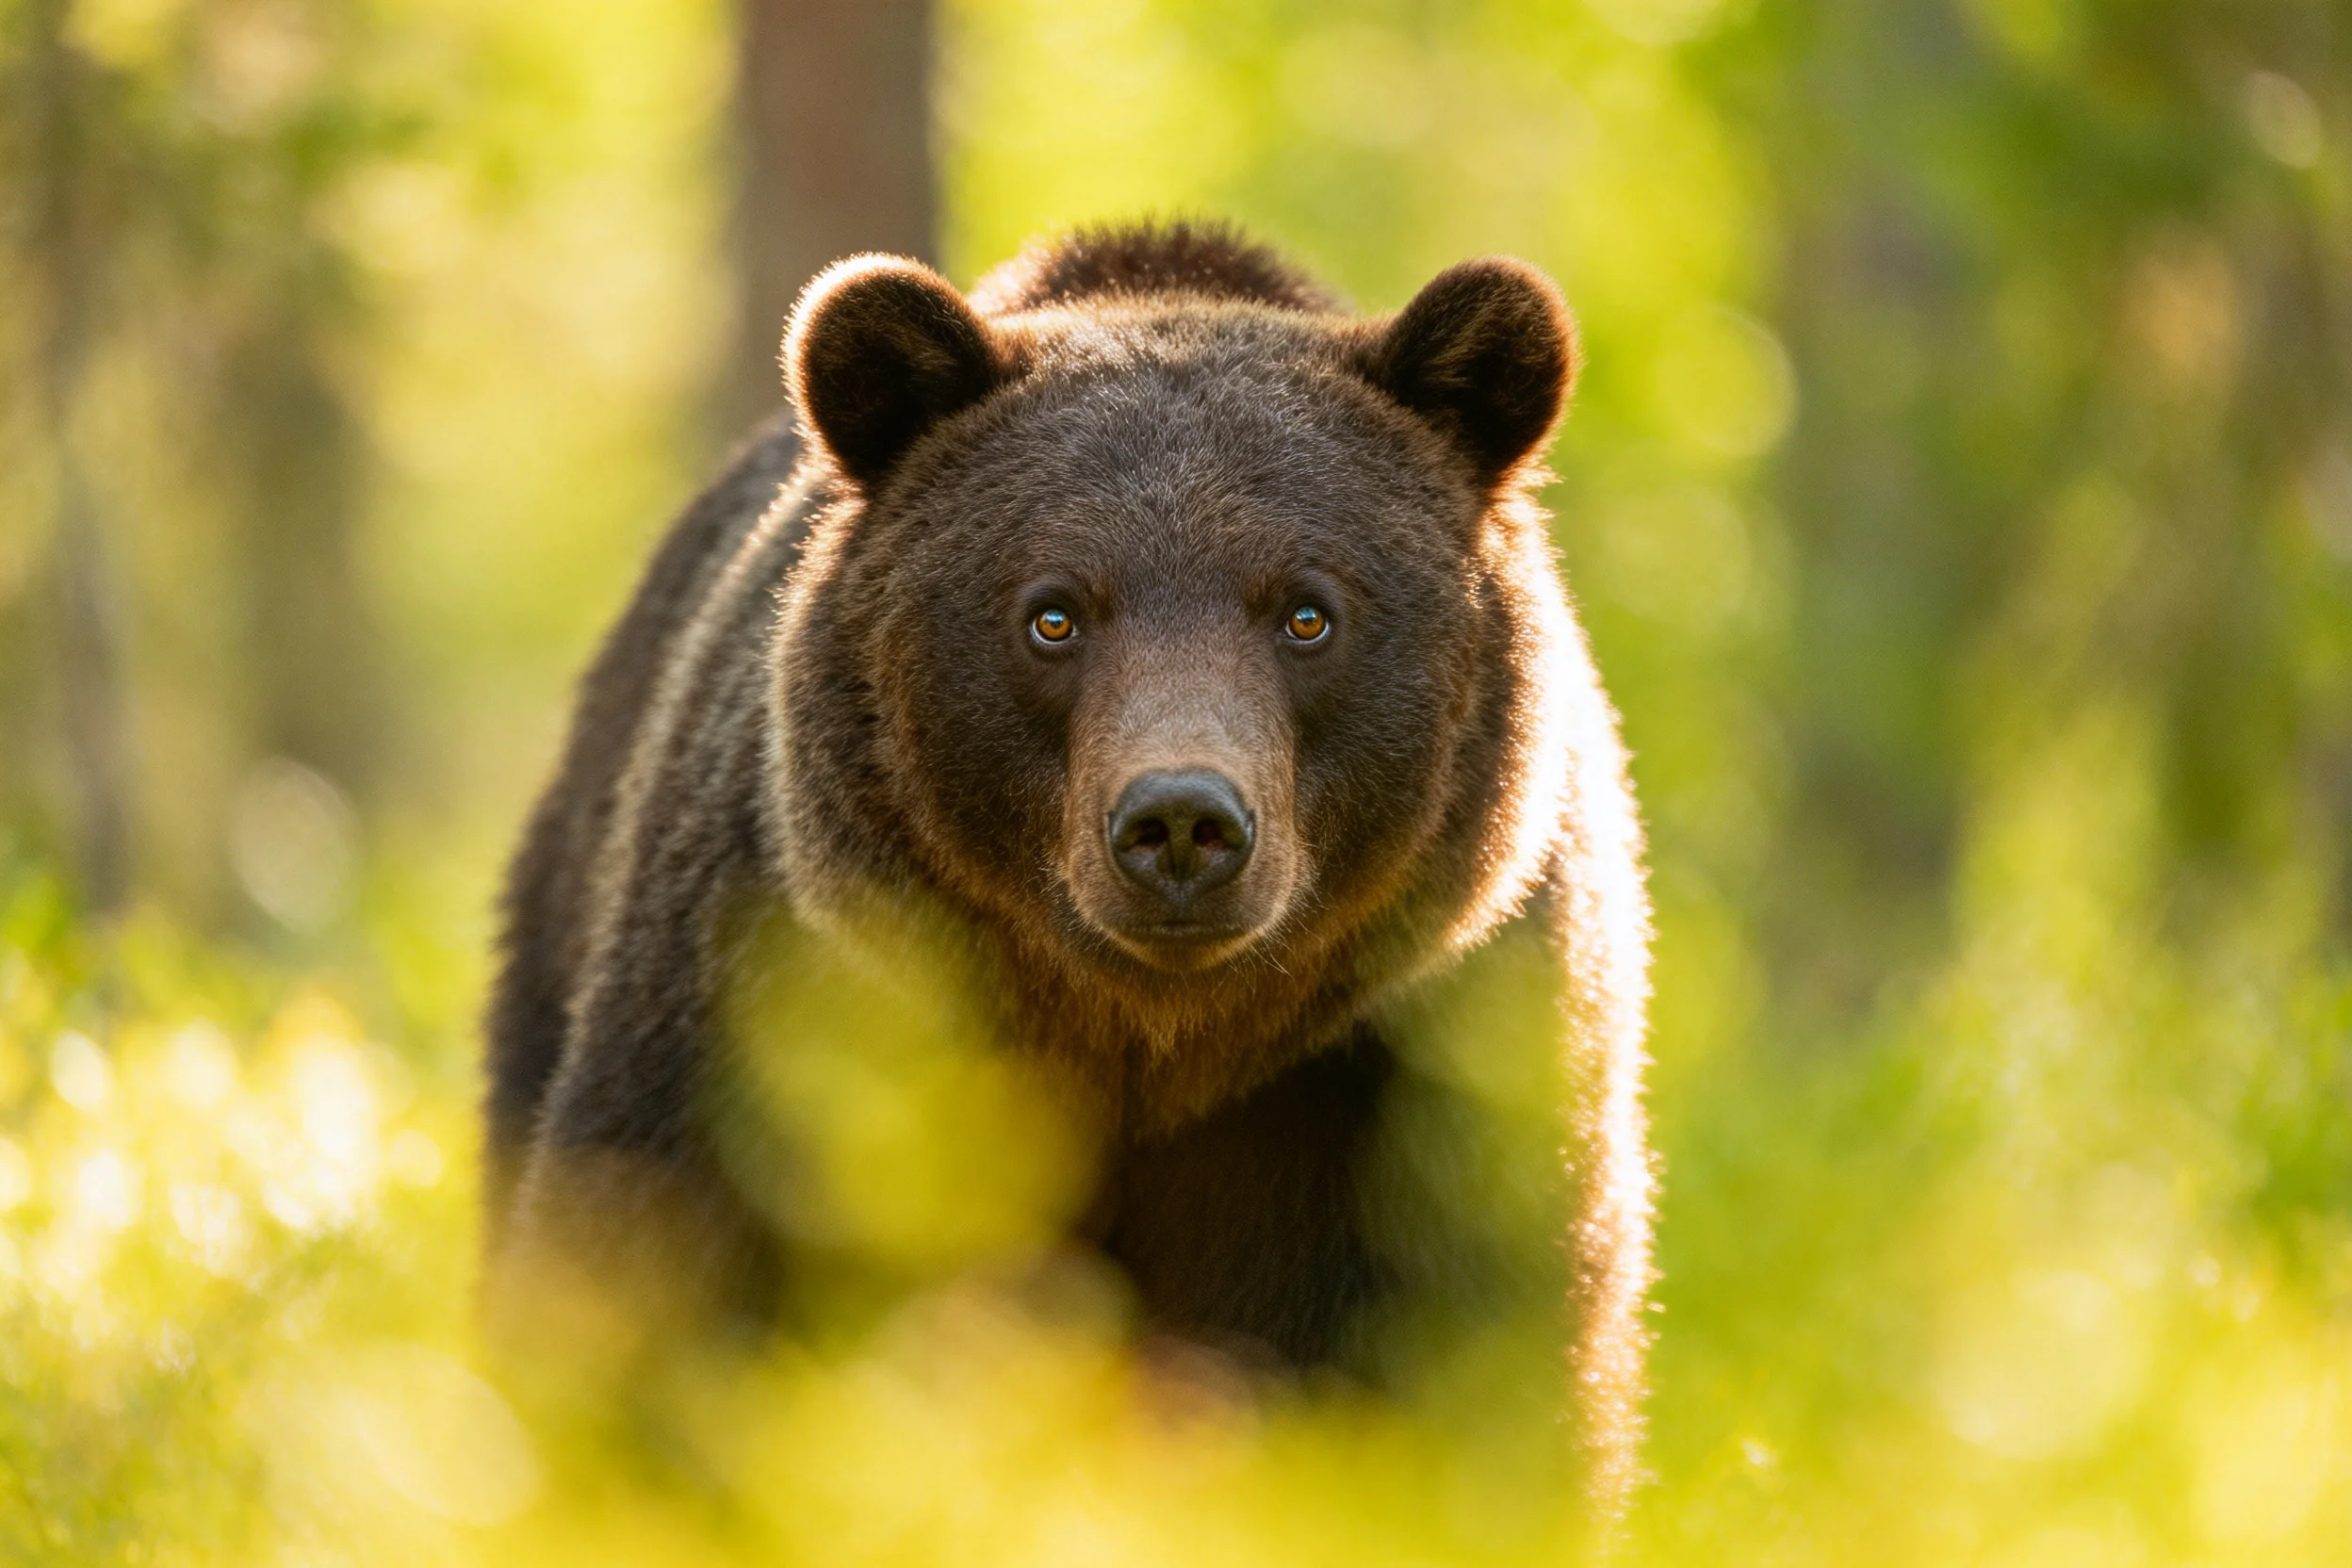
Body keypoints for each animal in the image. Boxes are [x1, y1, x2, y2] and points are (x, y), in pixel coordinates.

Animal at [483, 221, 1653, 1522]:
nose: (1182, 820)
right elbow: (662, 1293)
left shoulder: (1412, 1060)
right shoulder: (783, 998)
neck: (1141, 1036)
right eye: (1054, 613)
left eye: (1307, 611)